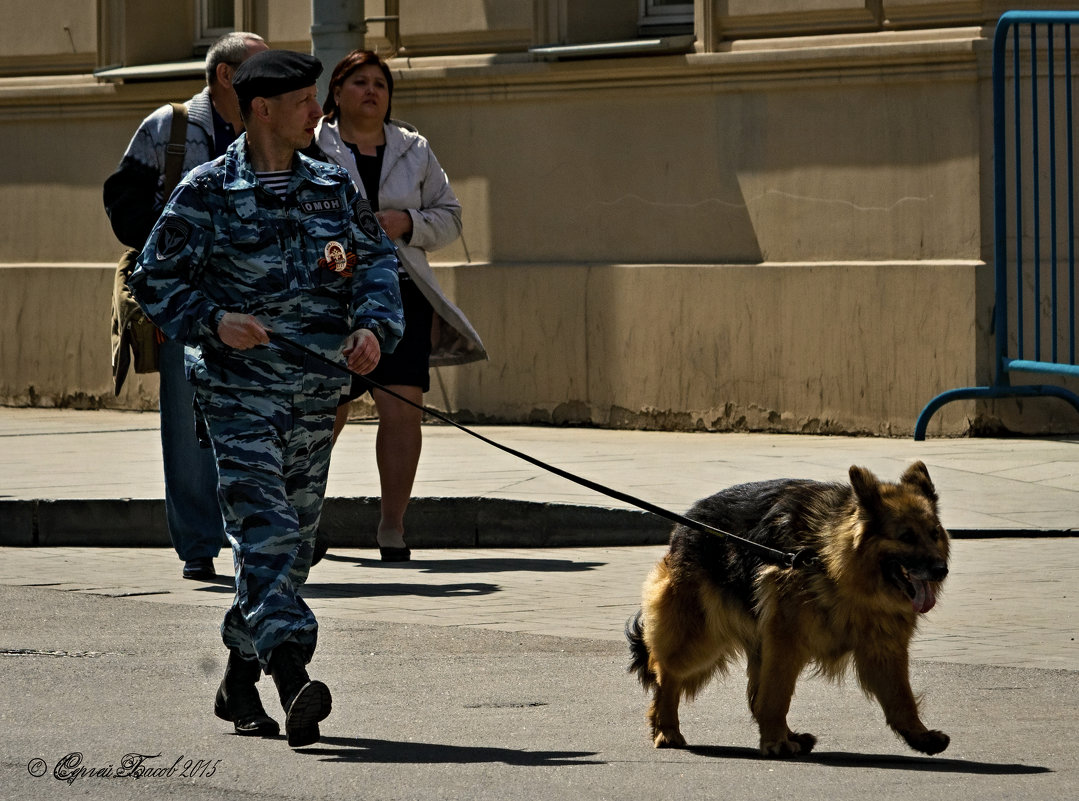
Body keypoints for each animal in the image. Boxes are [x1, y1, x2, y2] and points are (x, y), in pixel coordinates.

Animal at [630, 464, 949, 759]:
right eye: (906, 536)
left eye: (934, 534)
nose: (941, 570)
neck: (831, 561)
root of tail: (685, 523)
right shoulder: (786, 642)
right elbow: (776, 696)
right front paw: (775, 742)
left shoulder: (884, 648)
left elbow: (901, 698)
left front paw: (919, 736)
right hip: (700, 640)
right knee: (666, 673)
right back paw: (666, 728)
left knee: (754, 696)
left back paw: (791, 735)